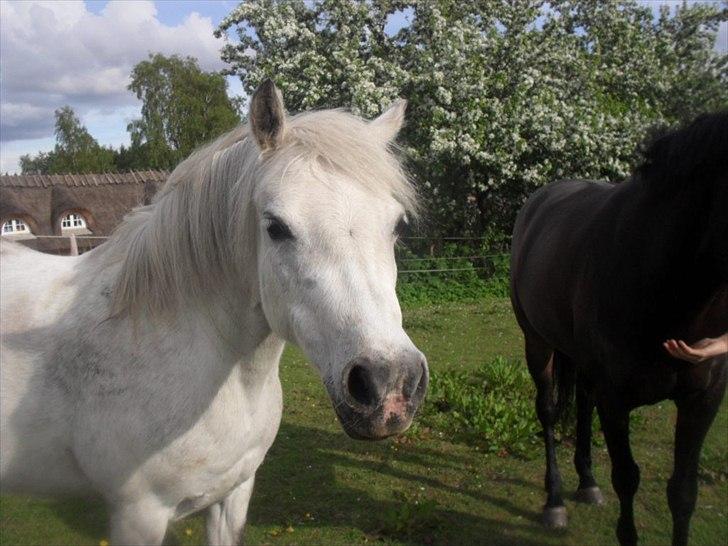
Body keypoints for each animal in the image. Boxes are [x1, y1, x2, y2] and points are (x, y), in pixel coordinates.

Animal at [510, 112, 727, 546]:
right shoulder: (615, 399)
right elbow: (627, 479)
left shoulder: (704, 399)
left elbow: (683, 491)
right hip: (537, 343)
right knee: (547, 411)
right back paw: (555, 501)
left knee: (582, 403)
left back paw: (587, 483)